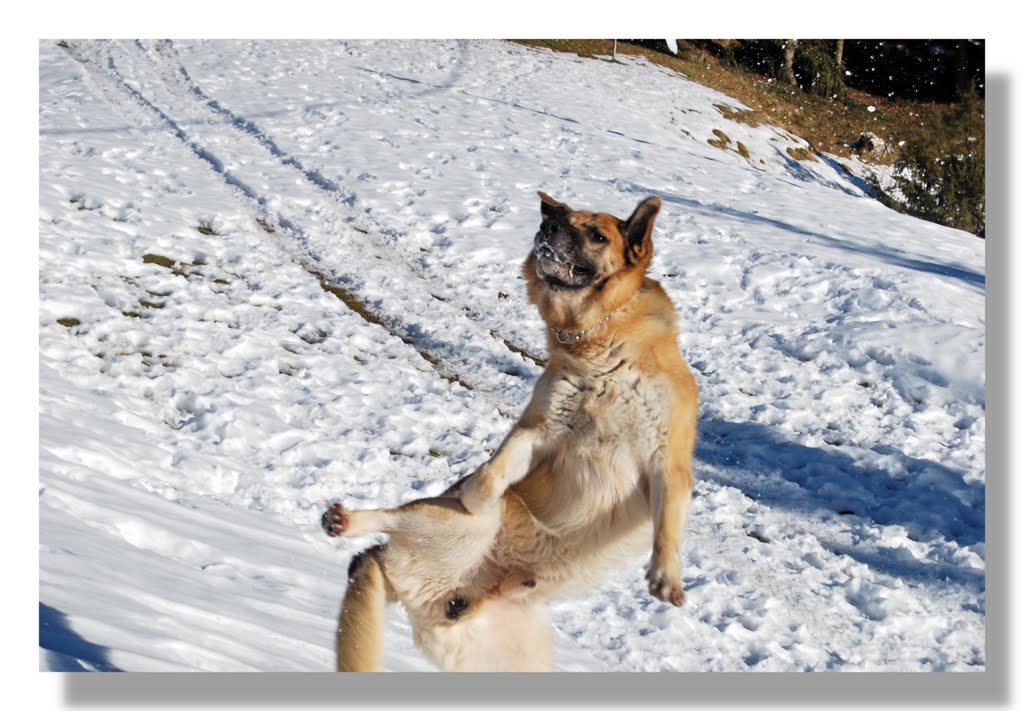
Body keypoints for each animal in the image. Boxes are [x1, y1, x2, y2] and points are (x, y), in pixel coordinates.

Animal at [323, 192, 700, 672]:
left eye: (597, 234)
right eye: (562, 217)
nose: (548, 226)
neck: (598, 347)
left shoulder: (665, 460)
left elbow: (667, 523)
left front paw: (666, 576)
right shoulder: (541, 427)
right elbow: (493, 470)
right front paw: (475, 491)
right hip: (446, 526)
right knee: (386, 528)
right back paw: (347, 520)